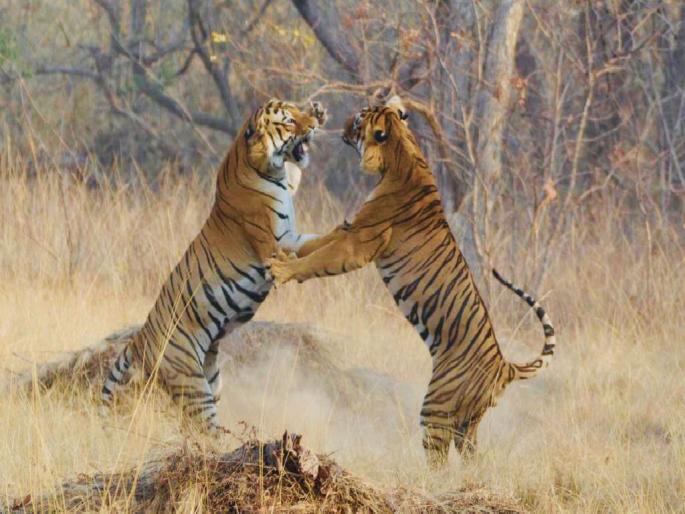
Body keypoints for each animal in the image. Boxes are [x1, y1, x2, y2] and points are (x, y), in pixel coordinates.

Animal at [101, 98, 327, 433]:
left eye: (298, 111)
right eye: (288, 121)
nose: (312, 124)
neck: (265, 168)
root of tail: (140, 338)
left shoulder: (292, 229)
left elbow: (321, 239)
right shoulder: (276, 245)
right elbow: (309, 253)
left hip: (212, 381)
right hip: (192, 384)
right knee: (205, 430)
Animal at [267, 96, 556, 466]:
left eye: (359, 119)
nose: (342, 122)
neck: (401, 152)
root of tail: (504, 366)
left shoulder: (358, 243)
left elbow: (319, 259)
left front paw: (283, 269)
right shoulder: (349, 228)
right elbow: (315, 244)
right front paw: (287, 252)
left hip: (437, 404)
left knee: (438, 458)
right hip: (468, 422)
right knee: (472, 456)